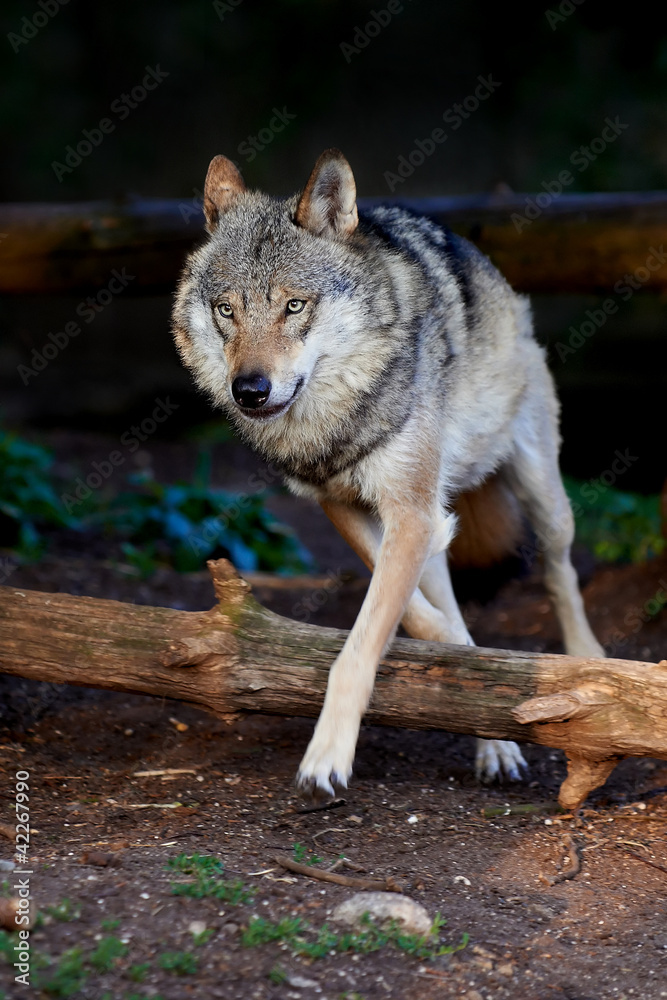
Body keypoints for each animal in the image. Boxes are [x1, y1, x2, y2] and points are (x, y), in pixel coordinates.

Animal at [172, 148, 604, 797]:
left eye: (294, 305)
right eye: (227, 310)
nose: (249, 390)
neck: (334, 419)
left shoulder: (409, 514)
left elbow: (360, 647)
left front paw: (327, 756)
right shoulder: (350, 506)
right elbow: (423, 620)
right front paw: (476, 684)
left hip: (542, 496)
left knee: (561, 574)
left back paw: (586, 656)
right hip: (440, 516)